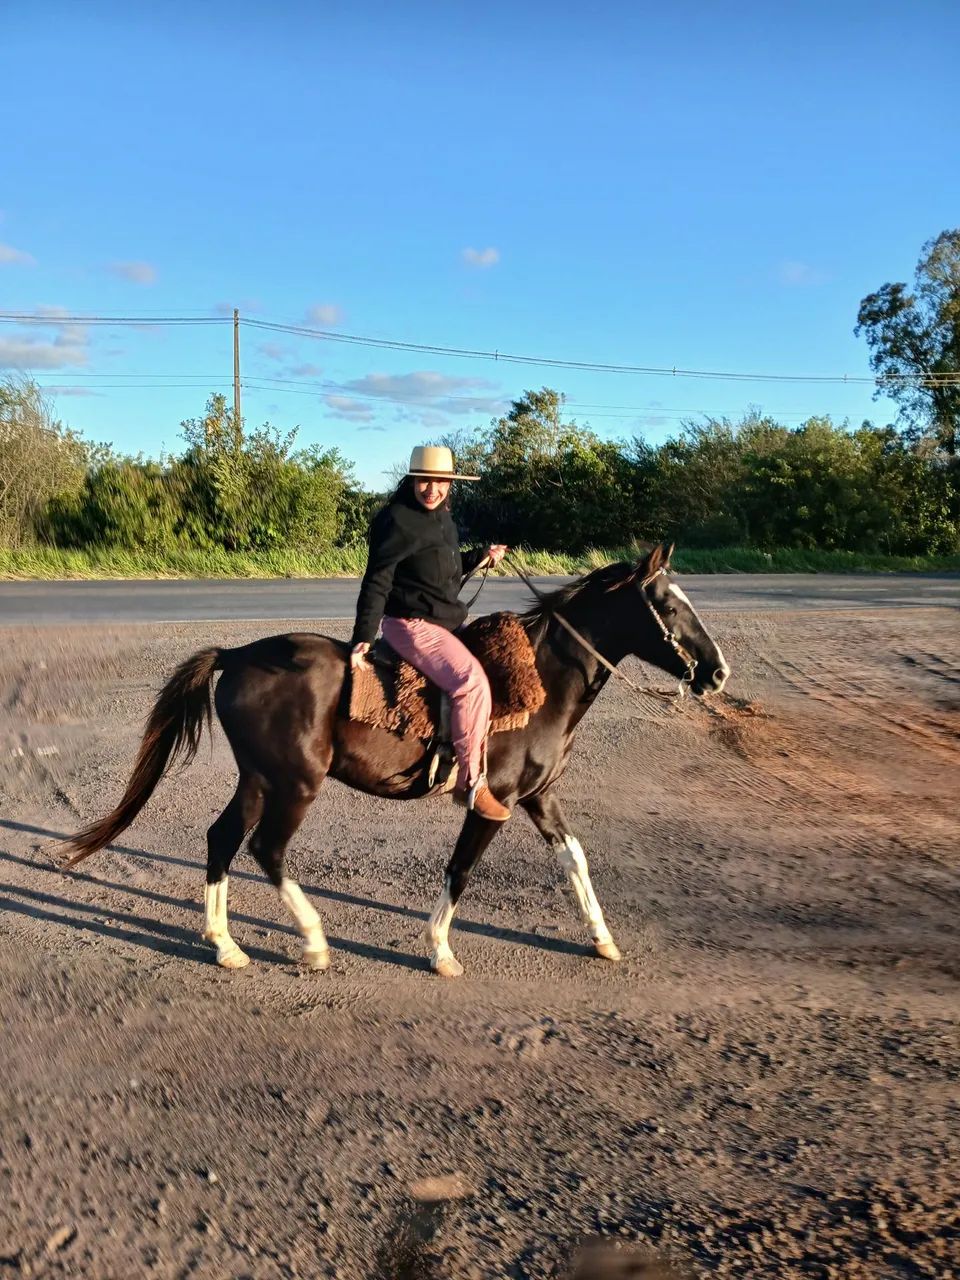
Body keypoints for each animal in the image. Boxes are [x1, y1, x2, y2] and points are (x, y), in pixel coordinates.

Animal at [62, 543, 729, 978]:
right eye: (669, 606)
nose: (717, 673)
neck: (543, 681)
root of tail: (237, 653)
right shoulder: (494, 802)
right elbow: (460, 870)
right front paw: (439, 950)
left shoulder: (539, 795)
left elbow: (574, 859)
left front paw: (603, 938)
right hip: (295, 782)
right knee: (266, 849)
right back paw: (313, 942)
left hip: (257, 778)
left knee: (222, 838)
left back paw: (225, 944)